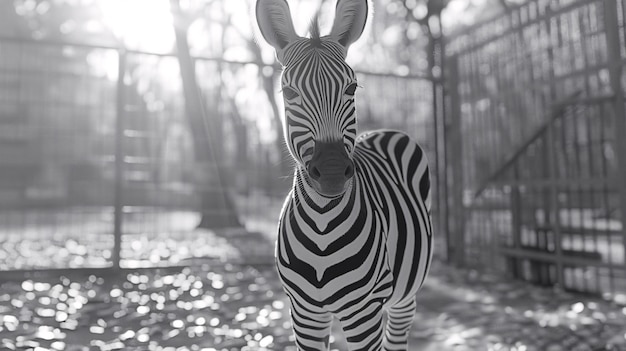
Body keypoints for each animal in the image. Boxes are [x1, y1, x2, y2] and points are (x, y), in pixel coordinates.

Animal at [256, 1, 432, 350]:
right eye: (288, 92)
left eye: (351, 88)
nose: (333, 171)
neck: (322, 225)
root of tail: (379, 132)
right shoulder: (305, 313)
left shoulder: (363, 311)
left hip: (404, 295)